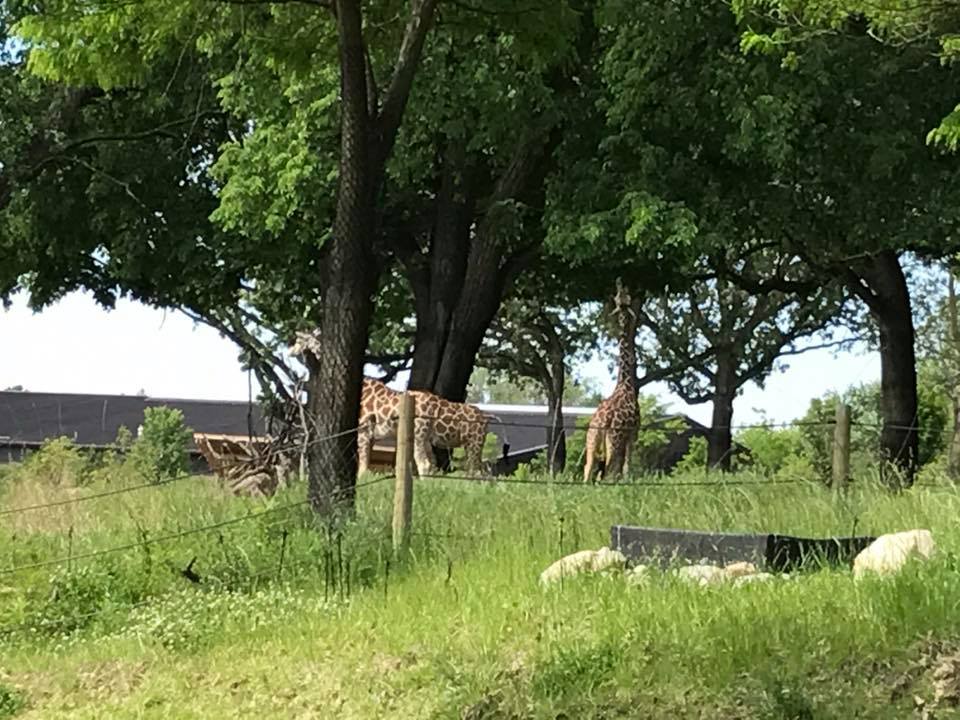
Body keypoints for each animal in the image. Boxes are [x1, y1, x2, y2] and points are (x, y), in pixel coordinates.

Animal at [583, 278, 639, 483]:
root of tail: (602, 420)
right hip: (614, 438)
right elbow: (627, 466)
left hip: (592, 437)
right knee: (605, 470)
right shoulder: (633, 432)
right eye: (626, 298)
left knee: (588, 468)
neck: (624, 382)